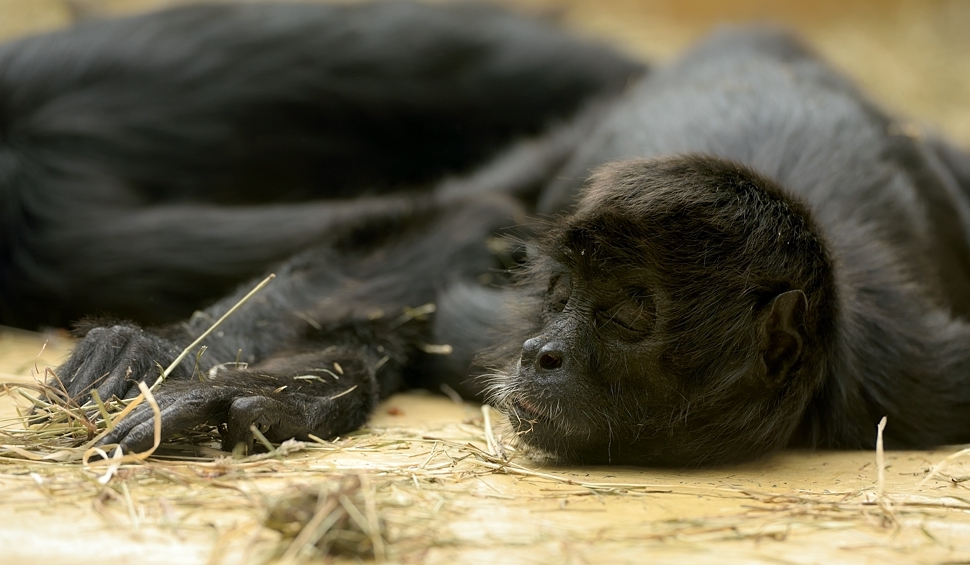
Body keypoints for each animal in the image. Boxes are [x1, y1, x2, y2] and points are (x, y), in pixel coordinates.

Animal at [1, 1, 968, 468]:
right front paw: (199, 374)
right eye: (561, 297)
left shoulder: (916, 377)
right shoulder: (490, 329)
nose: (543, 352)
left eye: (628, 314)